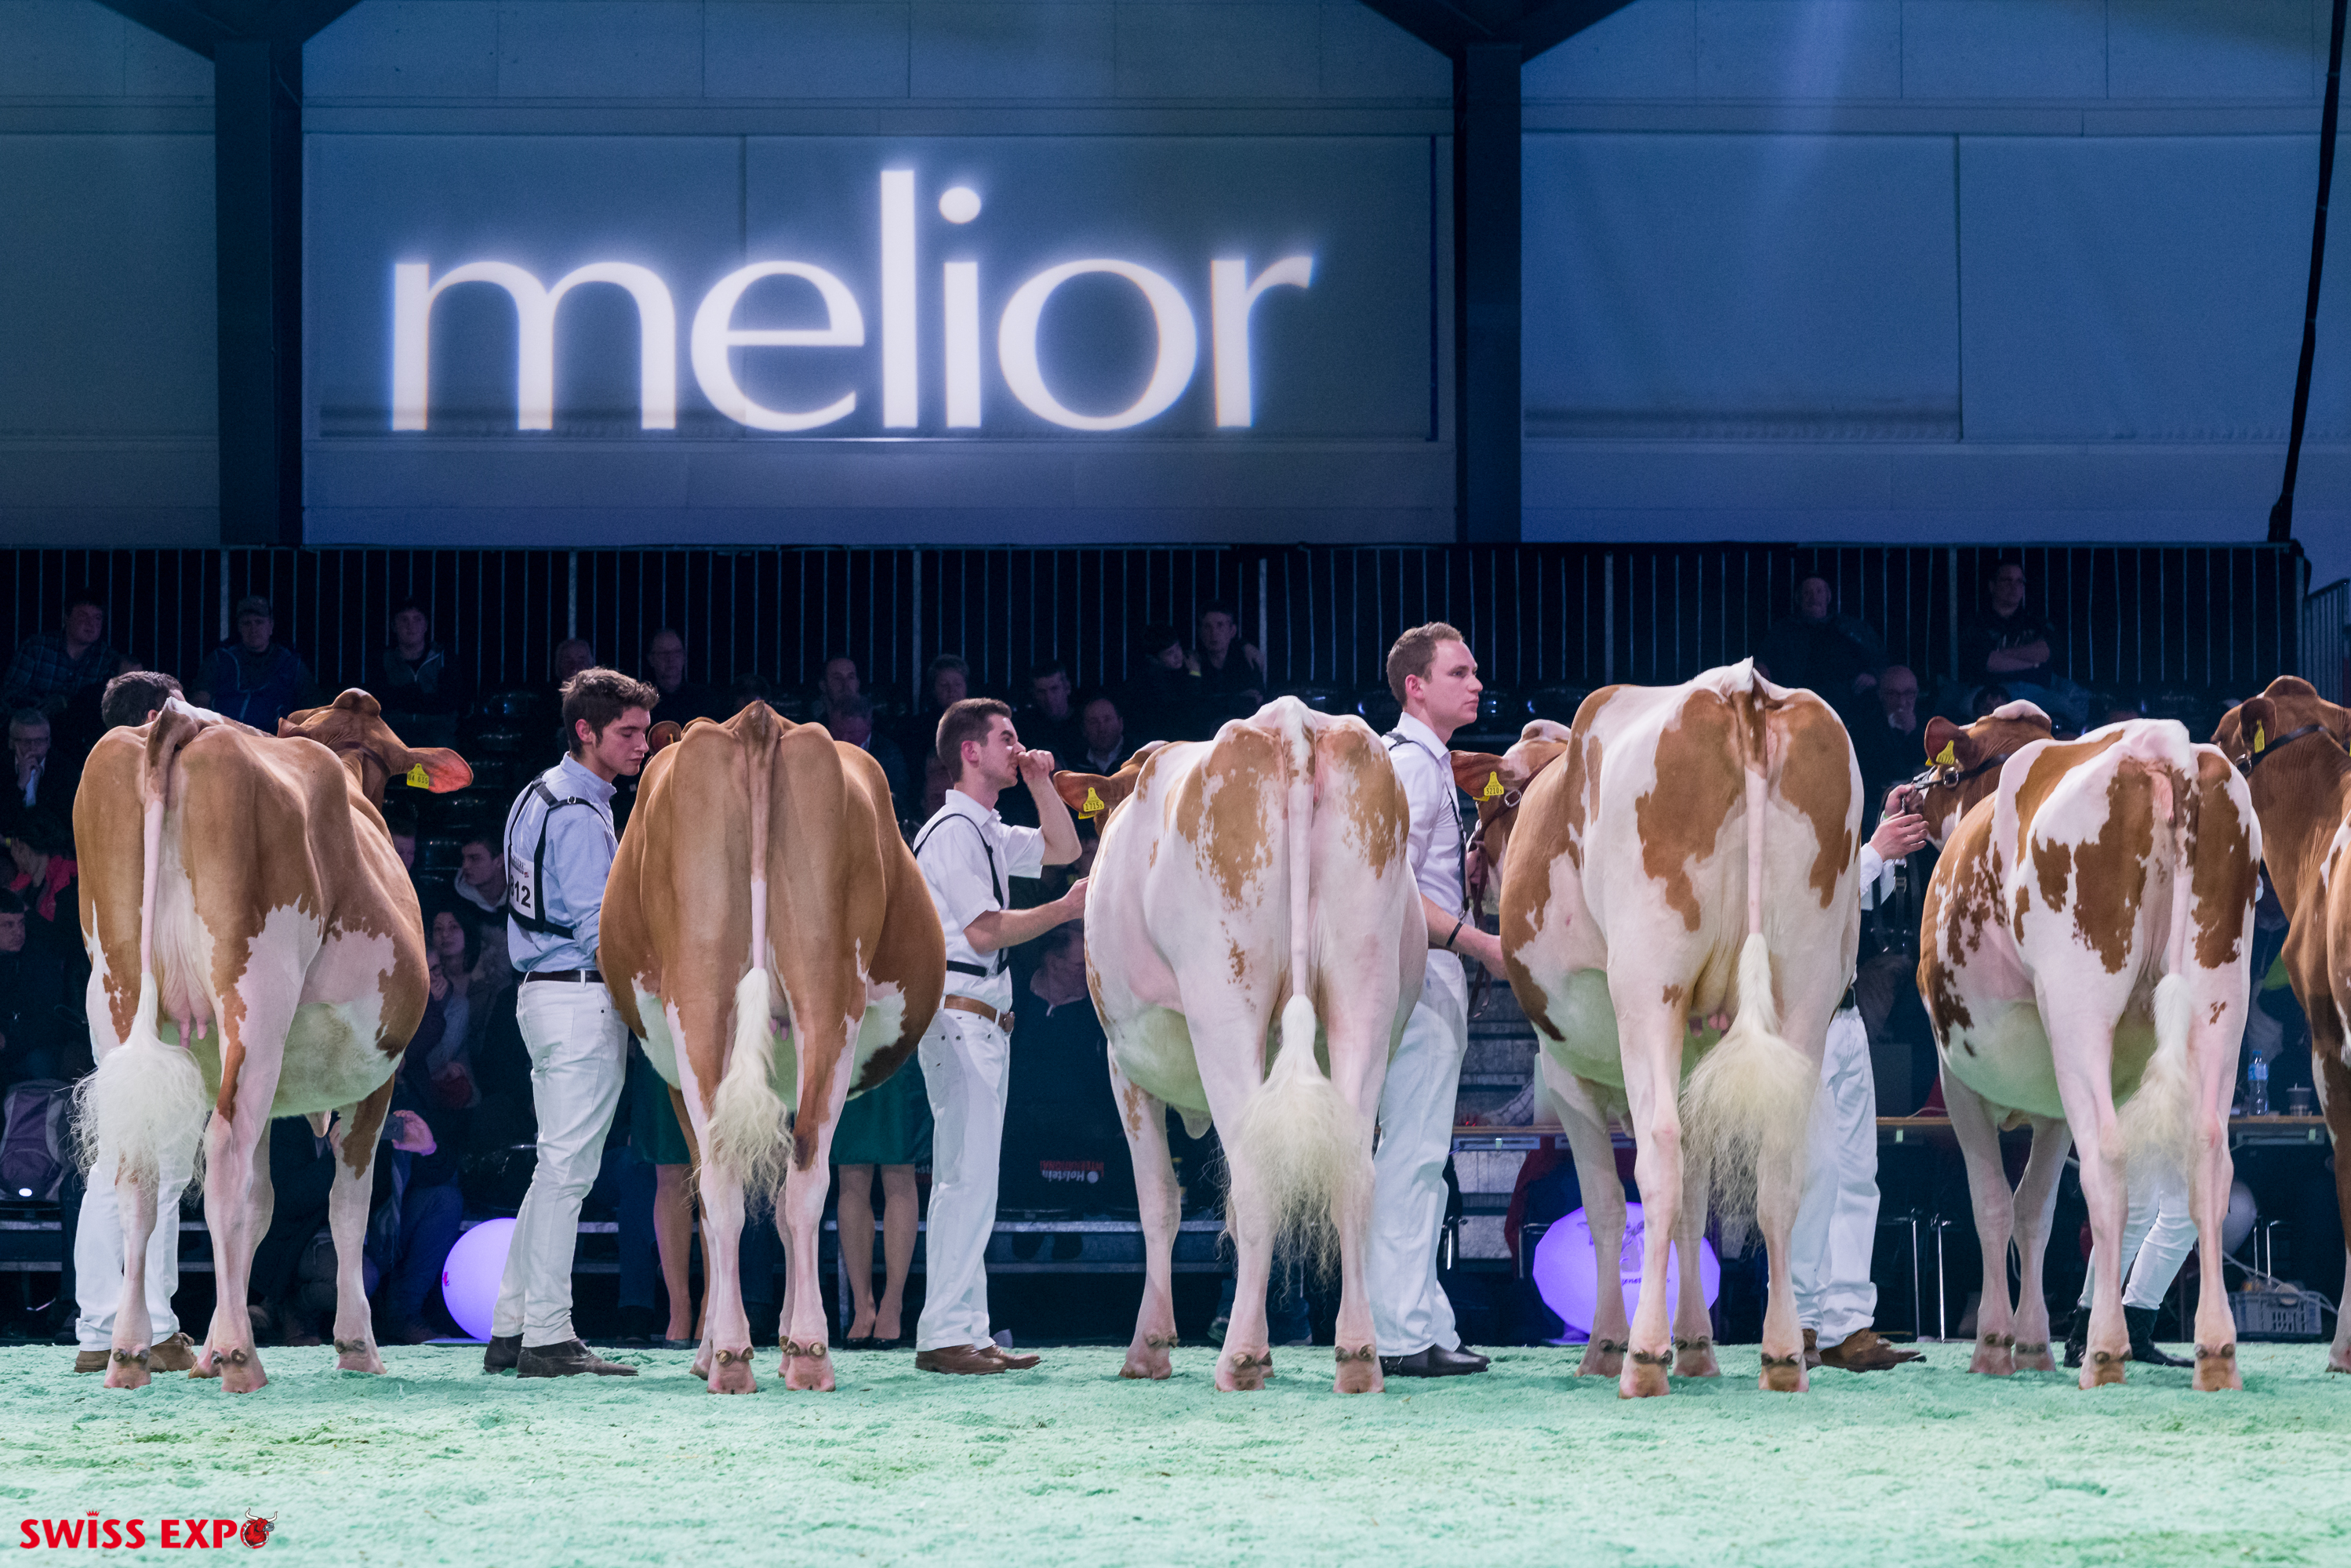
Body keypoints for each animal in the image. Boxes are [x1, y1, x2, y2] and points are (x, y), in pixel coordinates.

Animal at [73, 690, 470, 1392]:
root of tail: (182, 718)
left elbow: (258, 1206)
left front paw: (205, 1350)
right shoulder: (380, 1073)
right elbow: (346, 1202)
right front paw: (356, 1345)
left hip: (116, 996)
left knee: (141, 1163)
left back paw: (131, 1354)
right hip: (258, 996)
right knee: (225, 1148)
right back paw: (241, 1357)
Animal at [599, 701, 945, 1393]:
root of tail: (757, 722)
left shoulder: (678, 1085)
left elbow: (733, 1211)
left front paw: (730, 1345)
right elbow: (783, 1209)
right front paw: (780, 1340)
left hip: (700, 1003)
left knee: (728, 1183)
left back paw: (733, 1355)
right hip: (823, 998)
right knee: (802, 1175)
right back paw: (802, 1353)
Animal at [1049, 696, 1424, 1394]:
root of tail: (1293, 723)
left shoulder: (1125, 1066)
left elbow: (1159, 1202)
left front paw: (1149, 1346)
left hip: (1224, 1001)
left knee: (1252, 1180)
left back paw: (1242, 1357)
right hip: (1365, 987)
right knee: (1353, 1177)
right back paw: (1357, 1356)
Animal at [1465, 662, 1862, 1397]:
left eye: (1485, 812)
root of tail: (1742, 687)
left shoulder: (1565, 1076)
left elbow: (1606, 1206)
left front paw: (1607, 1346)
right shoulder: (1693, 1071)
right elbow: (1695, 1210)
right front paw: (1699, 1346)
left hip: (1649, 983)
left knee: (1658, 1155)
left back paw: (1643, 1359)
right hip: (1809, 979)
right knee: (1780, 1170)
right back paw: (1782, 1356)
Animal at [1912, 702, 2259, 1391]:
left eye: (1945, 775)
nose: (1905, 795)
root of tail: (2162, 743)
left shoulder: (1958, 1081)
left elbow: (1994, 1205)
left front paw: (1996, 1345)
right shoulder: (2050, 1108)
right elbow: (2035, 1212)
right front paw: (2032, 1344)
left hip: (2078, 1004)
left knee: (2106, 1156)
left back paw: (2103, 1350)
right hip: (2220, 992)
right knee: (2209, 1155)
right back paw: (2215, 1352)